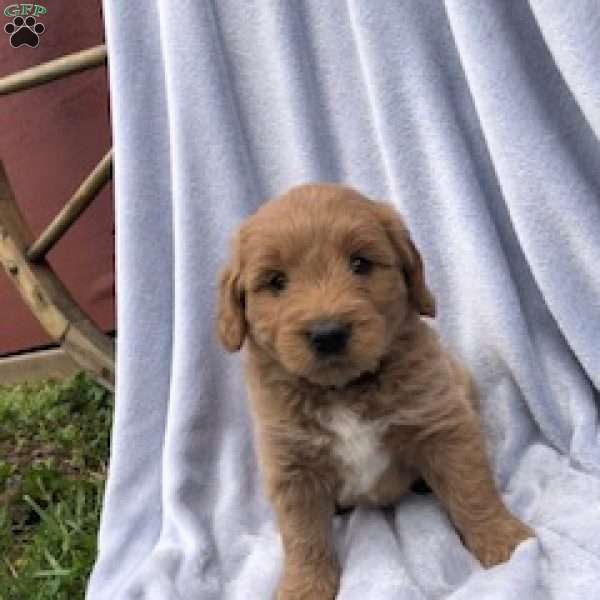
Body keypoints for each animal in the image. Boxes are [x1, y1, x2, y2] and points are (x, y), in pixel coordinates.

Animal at [214, 184, 528, 600]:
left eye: (360, 264)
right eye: (277, 282)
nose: (328, 334)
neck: (343, 390)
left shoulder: (443, 423)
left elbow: (471, 486)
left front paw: (504, 540)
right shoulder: (290, 464)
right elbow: (302, 535)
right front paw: (304, 587)